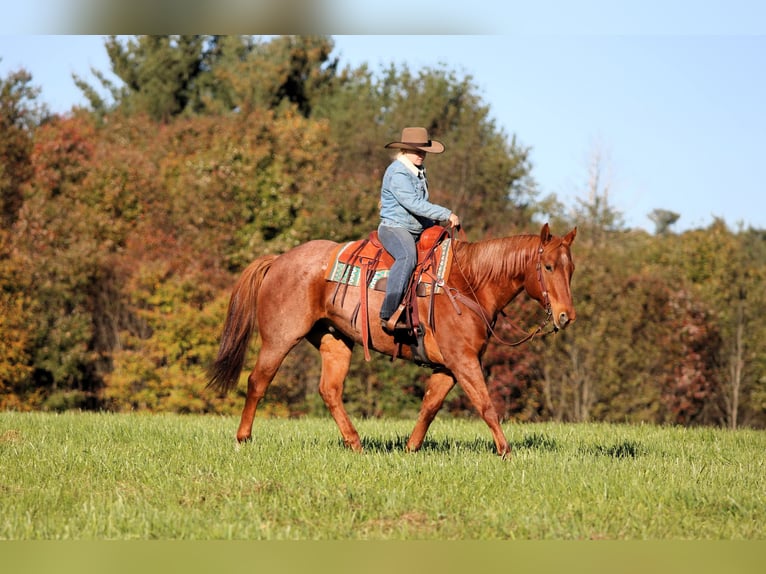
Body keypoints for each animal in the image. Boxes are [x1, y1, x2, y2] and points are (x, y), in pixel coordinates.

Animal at [207, 223, 577, 457]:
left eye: (570, 269)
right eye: (547, 266)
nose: (565, 316)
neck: (468, 282)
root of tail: (277, 261)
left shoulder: (448, 367)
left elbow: (430, 406)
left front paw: (411, 449)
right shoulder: (463, 360)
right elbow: (486, 405)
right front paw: (506, 452)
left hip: (334, 340)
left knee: (330, 390)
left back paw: (355, 443)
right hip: (280, 338)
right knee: (258, 382)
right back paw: (243, 439)